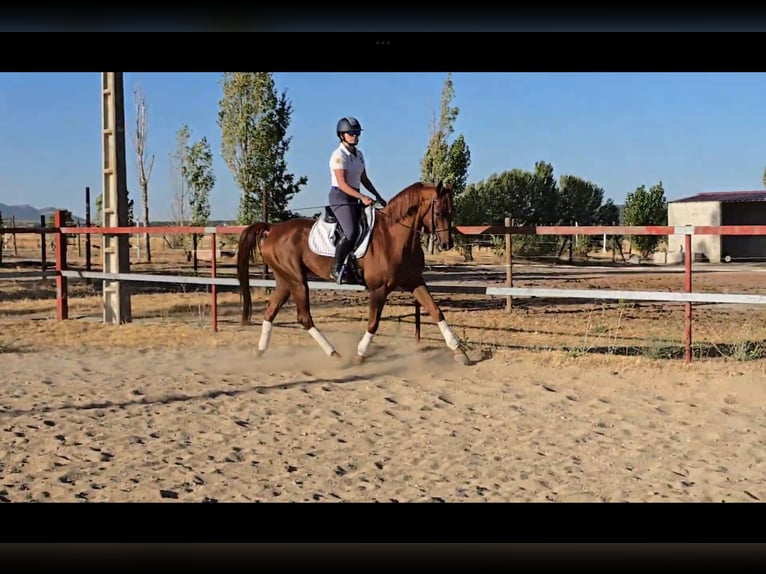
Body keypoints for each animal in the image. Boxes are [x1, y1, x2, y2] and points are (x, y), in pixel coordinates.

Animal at [236, 180, 470, 365]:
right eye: (438, 213)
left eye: (452, 212)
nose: (447, 244)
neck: (394, 236)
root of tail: (273, 229)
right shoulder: (379, 288)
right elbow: (373, 322)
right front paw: (360, 354)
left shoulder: (414, 280)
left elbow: (435, 310)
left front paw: (459, 351)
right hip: (297, 281)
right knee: (304, 318)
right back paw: (335, 355)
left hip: (285, 281)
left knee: (270, 312)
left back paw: (260, 350)